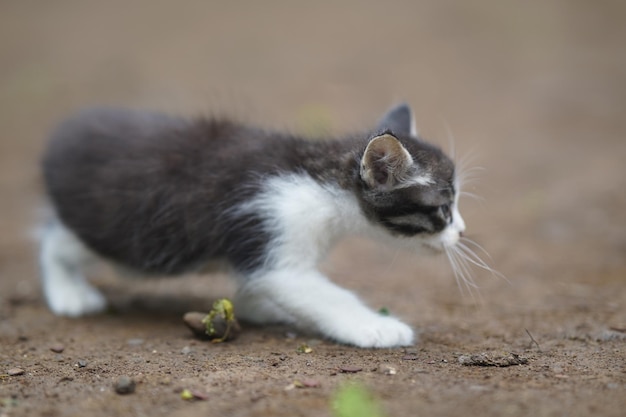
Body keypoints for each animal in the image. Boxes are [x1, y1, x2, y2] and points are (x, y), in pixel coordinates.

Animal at [39, 104, 466, 348]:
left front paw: (257, 307)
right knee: (52, 239)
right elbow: (324, 294)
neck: (324, 181)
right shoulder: (274, 231)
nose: (461, 230)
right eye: (443, 208)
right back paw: (68, 294)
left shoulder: (258, 243)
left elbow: (255, 280)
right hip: (108, 227)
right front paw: (376, 327)